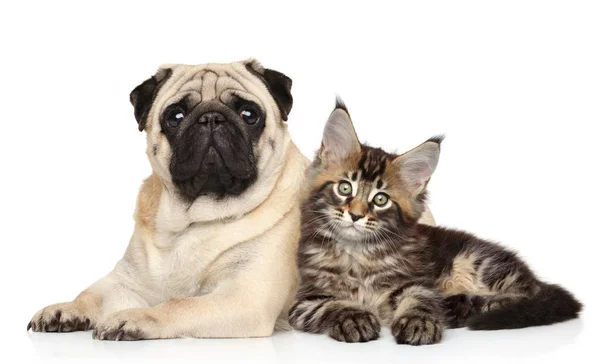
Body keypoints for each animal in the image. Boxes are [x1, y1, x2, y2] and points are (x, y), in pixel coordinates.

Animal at [27, 58, 310, 340]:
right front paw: (67, 308)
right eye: (176, 117)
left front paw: (135, 318)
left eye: (249, 115)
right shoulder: (126, 281)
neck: (195, 217)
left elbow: (179, 304)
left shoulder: (245, 296)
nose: (211, 118)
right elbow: (90, 295)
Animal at [290, 99, 580, 344]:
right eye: (345, 188)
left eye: (381, 199)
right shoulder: (305, 300)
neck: (358, 255)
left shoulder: (415, 280)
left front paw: (418, 322)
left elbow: (419, 298)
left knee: (524, 295)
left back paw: (462, 305)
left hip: (477, 260)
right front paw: (354, 317)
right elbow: (331, 304)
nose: (356, 215)